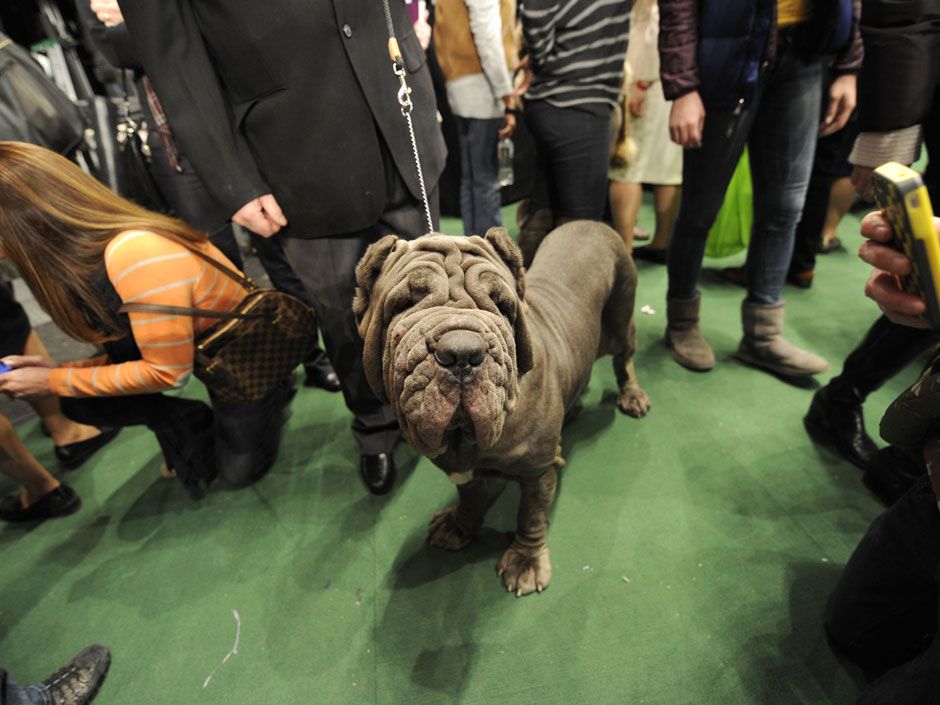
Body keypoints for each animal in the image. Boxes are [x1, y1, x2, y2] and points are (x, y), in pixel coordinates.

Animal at [352, 220, 648, 592]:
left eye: (501, 305)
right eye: (404, 304)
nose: (462, 352)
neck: (463, 439)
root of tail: (594, 223)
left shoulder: (537, 471)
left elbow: (531, 515)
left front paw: (526, 560)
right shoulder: (463, 470)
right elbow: (470, 497)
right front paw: (458, 526)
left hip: (621, 319)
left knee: (625, 360)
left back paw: (633, 396)